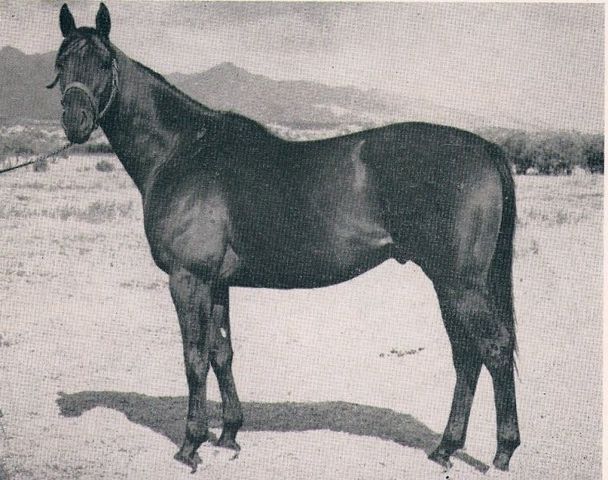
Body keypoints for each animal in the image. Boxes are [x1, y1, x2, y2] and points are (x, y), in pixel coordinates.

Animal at [48, 3, 520, 473]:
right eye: (61, 61)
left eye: (103, 62)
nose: (75, 122)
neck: (182, 151)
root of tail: (486, 150)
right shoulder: (217, 283)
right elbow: (221, 352)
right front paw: (229, 435)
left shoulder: (188, 279)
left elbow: (194, 358)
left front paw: (190, 445)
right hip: (451, 284)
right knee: (467, 356)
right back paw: (445, 448)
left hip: (459, 284)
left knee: (492, 349)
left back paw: (501, 453)